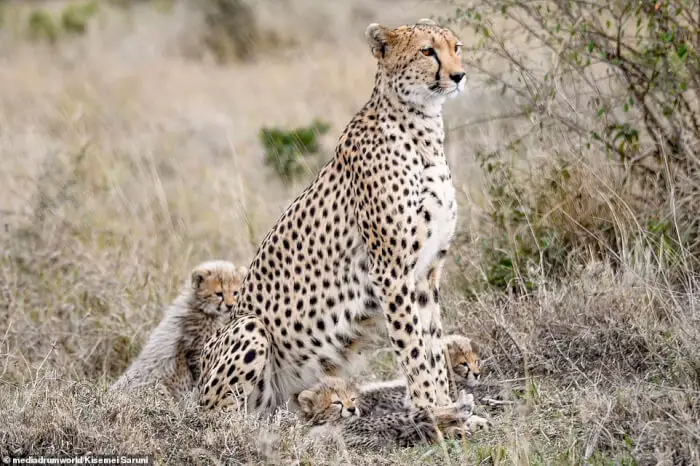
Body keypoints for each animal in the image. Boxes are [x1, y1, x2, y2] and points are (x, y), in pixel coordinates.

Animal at [110, 260, 247, 401]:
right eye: (219, 294)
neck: (202, 309)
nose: (230, 305)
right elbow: (201, 377)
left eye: (235, 292)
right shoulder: (196, 351)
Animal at [199, 18, 467, 416]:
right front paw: (430, 409)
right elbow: (413, 347)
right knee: (220, 416)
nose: (459, 75)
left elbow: (432, 344)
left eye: (456, 47)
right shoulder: (391, 271)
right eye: (427, 51)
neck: (423, 130)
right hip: (249, 330)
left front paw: (445, 404)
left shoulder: (428, 271)